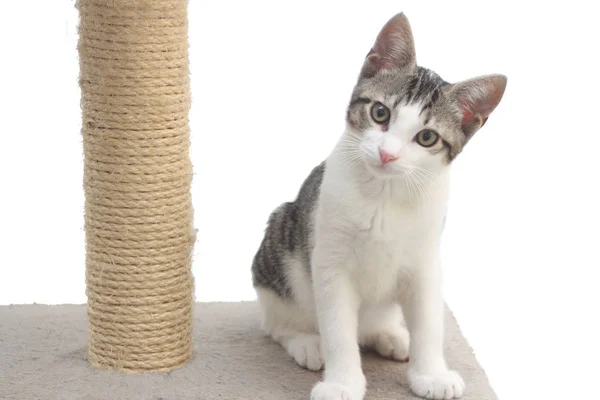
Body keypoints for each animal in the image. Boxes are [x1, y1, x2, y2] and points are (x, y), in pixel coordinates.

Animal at [250, 12, 506, 400]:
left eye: (427, 137)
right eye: (380, 112)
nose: (388, 154)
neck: (385, 195)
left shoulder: (425, 261)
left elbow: (430, 322)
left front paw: (431, 374)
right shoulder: (330, 261)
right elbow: (338, 328)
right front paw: (342, 383)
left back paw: (390, 335)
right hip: (281, 239)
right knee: (274, 320)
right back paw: (306, 342)